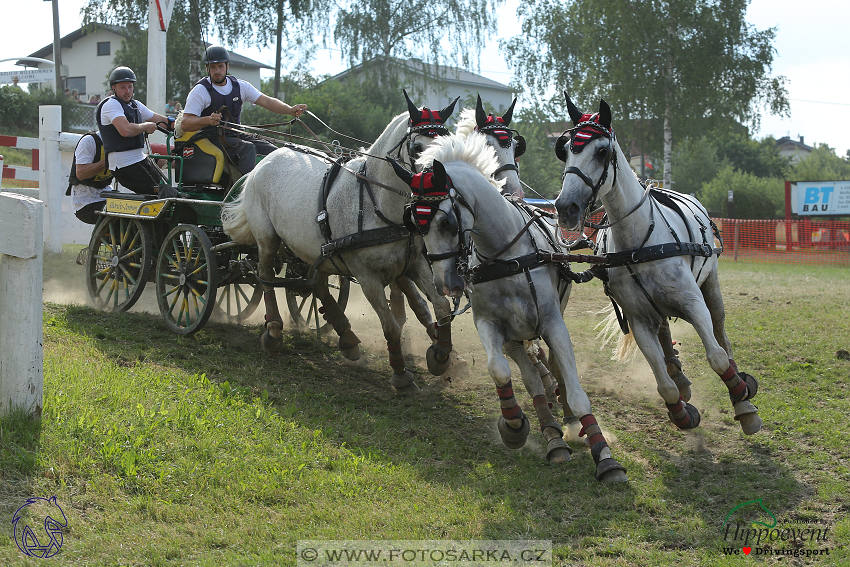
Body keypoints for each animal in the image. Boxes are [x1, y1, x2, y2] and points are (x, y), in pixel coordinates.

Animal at [220, 95, 458, 392]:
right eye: (417, 148)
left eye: (448, 142)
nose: (443, 197)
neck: (377, 202)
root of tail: (264, 162)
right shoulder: (367, 277)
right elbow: (391, 325)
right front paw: (402, 377)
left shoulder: (413, 263)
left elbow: (440, 305)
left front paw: (440, 355)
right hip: (267, 238)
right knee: (266, 277)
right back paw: (274, 331)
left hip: (316, 250)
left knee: (317, 284)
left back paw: (346, 337)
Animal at [388, 133, 628, 484]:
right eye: (415, 223)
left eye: (446, 221)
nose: (444, 283)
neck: (505, 255)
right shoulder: (490, 325)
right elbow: (499, 370)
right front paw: (514, 424)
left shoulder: (553, 323)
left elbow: (575, 390)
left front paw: (604, 456)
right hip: (515, 338)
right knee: (531, 379)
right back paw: (553, 438)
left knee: (553, 370)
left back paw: (567, 421)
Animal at [552, 95, 760, 438]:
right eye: (566, 149)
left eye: (602, 151)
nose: (565, 207)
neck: (639, 242)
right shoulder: (638, 319)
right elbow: (664, 385)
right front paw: (682, 412)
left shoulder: (693, 303)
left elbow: (717, 357)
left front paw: (742, 399)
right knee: (665, 334)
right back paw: (679, 374)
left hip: (711, 285)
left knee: (721, 334)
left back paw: (740, 386)